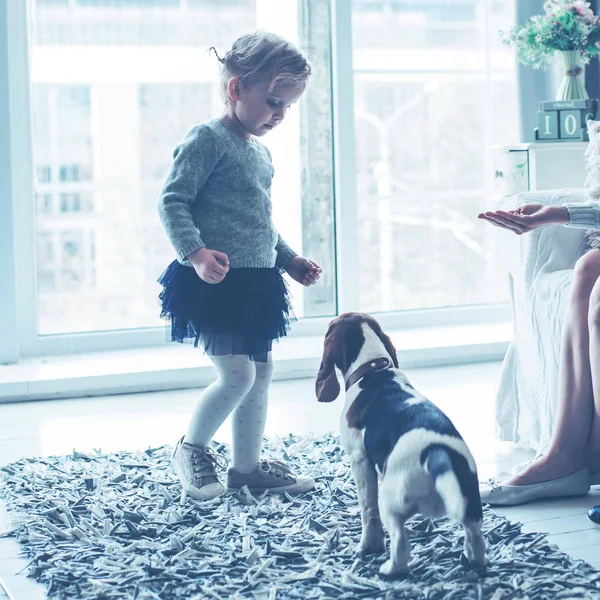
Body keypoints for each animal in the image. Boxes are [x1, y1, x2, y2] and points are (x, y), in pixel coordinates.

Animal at [316, 312, 486, 576]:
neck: (372, 369)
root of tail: (436, 453)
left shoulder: (359, 459)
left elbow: (368, 510)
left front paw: (369, 546)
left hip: (391, 503)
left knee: (400, 542)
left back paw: (389, 569)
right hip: (471, 504)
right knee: (475, 536)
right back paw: (473, 561)